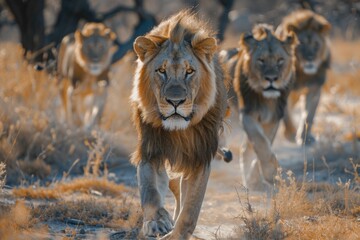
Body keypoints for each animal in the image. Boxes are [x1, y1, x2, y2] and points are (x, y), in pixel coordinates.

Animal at [130, 10, 228, 239]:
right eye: (161, 71)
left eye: (189, 71)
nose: (175, 102)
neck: (178, 131)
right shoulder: (150, 149)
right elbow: (149, 190)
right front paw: (157, 222)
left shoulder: (200, 157)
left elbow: (191, 209)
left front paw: (177, 233)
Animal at [224, 24, 296, 189]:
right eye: (261, 60)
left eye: (280, 60)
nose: (271, 78)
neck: (266, 99)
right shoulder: (247, 114)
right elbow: (260, 142)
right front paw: (270, 173)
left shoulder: (273, 118)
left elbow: (264, 144)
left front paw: (259, 176)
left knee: (246, 148)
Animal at [276, 9, 332, 144]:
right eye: (301, 44)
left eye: (316, 44)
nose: (310, 58)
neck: (302, 73)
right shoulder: (281, 89)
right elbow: (286, 115)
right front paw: (290, 134)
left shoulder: (315, 89)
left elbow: (309, 115)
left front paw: (305, 138)